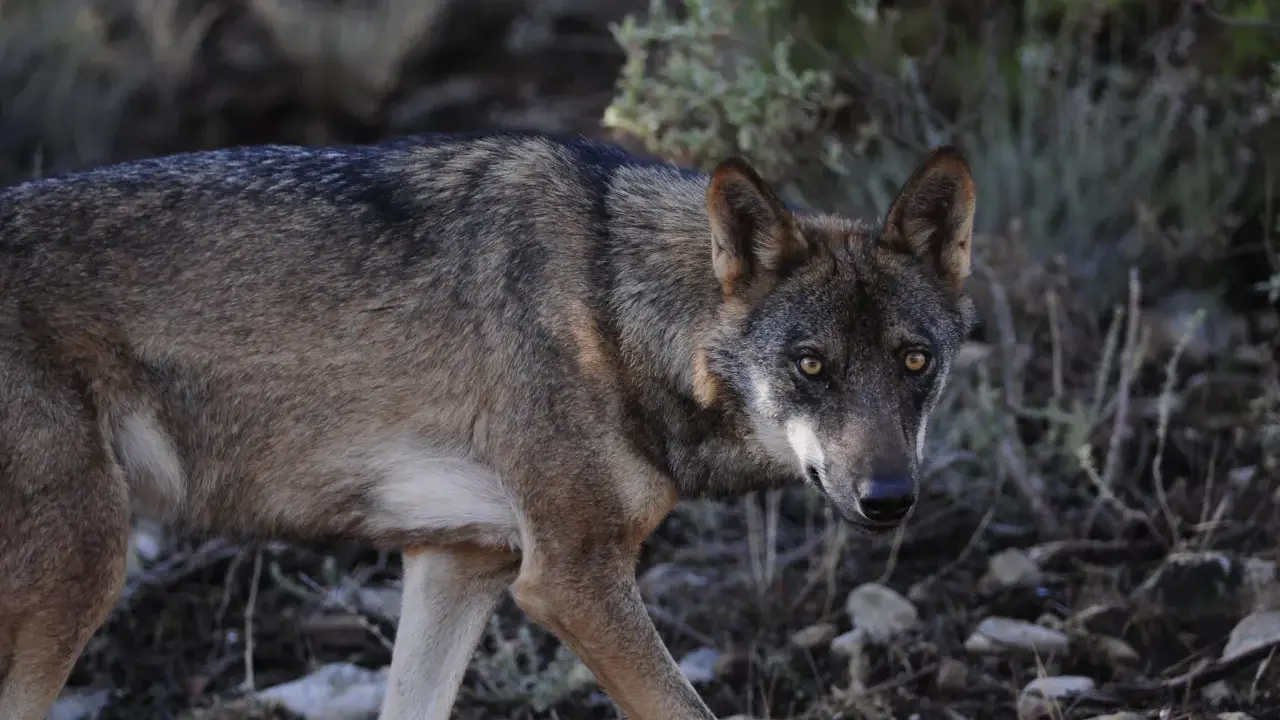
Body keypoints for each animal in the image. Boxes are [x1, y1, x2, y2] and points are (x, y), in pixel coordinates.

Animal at [0, 130, 976, 720]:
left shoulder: (459, 562)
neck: (613, 308)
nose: (891, 498)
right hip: (87, 564)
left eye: (914, 362)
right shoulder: (570, 580)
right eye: (812, 366)